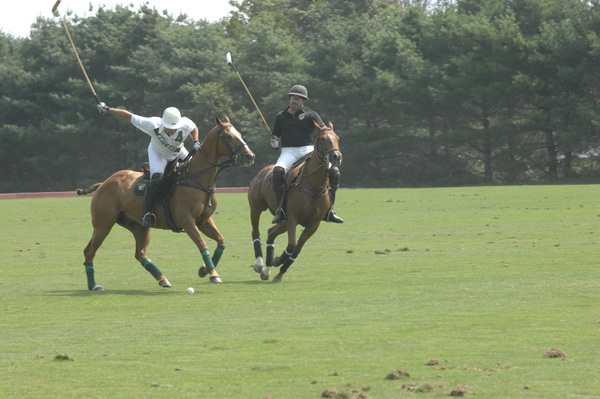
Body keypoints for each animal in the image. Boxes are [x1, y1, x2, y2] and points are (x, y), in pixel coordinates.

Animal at [78, 115, 254, 290]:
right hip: (103, 224)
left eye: (239, 134)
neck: (197, 179)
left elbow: (221, 241)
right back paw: (93, 285)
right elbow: (202, 244)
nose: (250, 156)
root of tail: (104, 183)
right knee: (89, 251)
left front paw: (205, 270)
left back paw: (162, 279)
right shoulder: (187, 221)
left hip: (138, 226)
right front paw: (213, 274)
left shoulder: (204, 220)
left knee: (140, 253)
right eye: (228, 136)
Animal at [247, 122, 340, 282]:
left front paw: (278, 272)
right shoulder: (292, 218)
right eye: (322, 139)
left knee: (271, 232)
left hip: (283, 220)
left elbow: (297, 249)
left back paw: (266, 270)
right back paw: (259, 264)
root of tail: (262, 171)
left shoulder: (313, 224)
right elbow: (291, 245)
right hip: (256, 208)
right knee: (255, 232)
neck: (315, 188)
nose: (336, 156)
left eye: (337, 138)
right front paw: (277, 260)